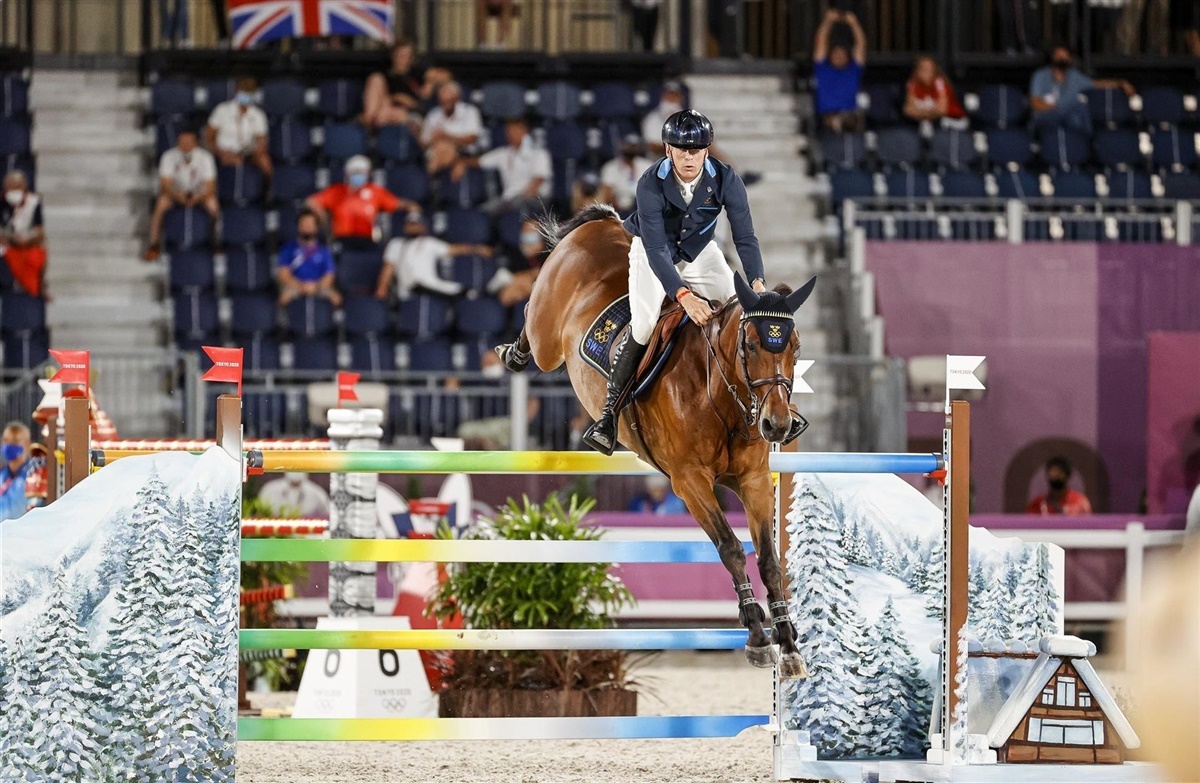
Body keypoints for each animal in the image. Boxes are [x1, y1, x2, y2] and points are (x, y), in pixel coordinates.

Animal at [497, 204, 814, 679]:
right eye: (751, 345)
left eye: (794, 346)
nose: (776, 426)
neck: (719, 393)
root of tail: (604, 223)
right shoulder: (689, 482)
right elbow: (730, 548)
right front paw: (759, 638)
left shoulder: (755, 480)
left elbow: (770, 560)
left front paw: (789, 645)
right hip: (548, 338)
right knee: (531, 330)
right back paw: (511, 353)